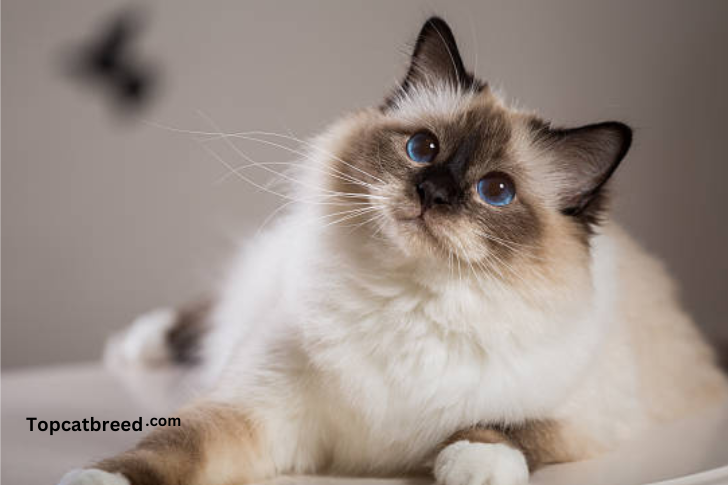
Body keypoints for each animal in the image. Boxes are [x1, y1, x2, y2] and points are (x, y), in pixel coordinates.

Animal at [59, 17, 724, 484]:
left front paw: (470, 467)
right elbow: (165, 448)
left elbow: (506, 428)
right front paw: (98, 479)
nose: (432, 192)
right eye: (422, 149)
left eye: (496, 191)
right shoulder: (256, 409)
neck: (411, 300)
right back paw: (134, 346)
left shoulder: (582, 419)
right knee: (200, 314)